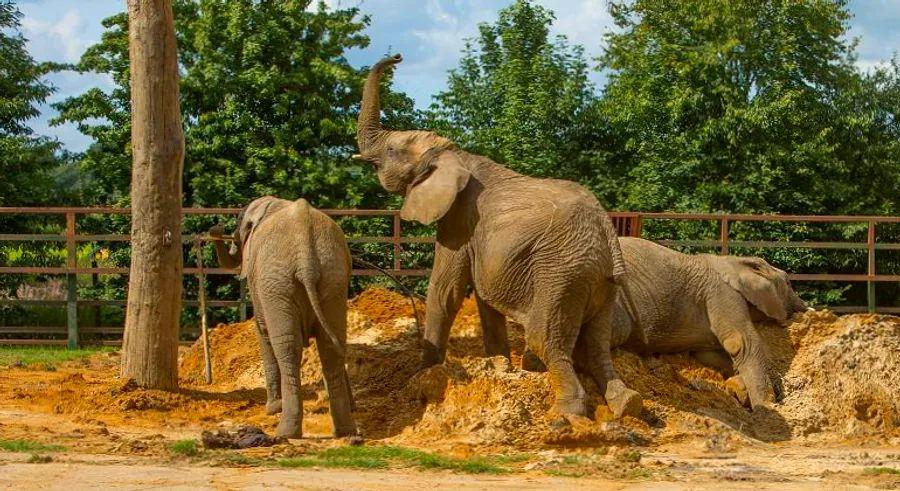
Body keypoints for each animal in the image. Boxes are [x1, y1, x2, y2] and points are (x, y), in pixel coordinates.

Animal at [209, 196, 356, 439]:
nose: (217, 228)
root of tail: (306, 257)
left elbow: (263, 331)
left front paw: (272, 408)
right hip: (334, 277)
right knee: (330, 345)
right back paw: (345, 431)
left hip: (276, 284)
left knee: (287, 346)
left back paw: (286, 431)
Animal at [353, 54, 643, 420]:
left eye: (391, 149)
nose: (397, 56)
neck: (454, 153)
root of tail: (606, 229)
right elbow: (483, 298)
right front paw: (499, 366)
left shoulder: (459, 220)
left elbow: (445, 291)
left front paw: (417, 381)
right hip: (602, 281)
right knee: (596, 342)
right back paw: (627, 403)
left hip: (561, 273)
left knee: (544, 338)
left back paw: (567, 414)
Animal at [522, 237, 808, 409]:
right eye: (789, 282)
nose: (803, 308)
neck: (732, 261)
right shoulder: (721, 293)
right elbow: (740, 343)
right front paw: (766, 406)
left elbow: (711, 354)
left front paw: (739, 389)